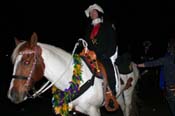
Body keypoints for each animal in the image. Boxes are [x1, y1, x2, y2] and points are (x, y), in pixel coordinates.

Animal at [7, 31, 140, 116]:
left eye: (26, 62)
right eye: (13, 63)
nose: (12, 95)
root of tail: (133, 64)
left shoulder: (94, 111)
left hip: (128, 91)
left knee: (127, 108)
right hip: (118, 95)